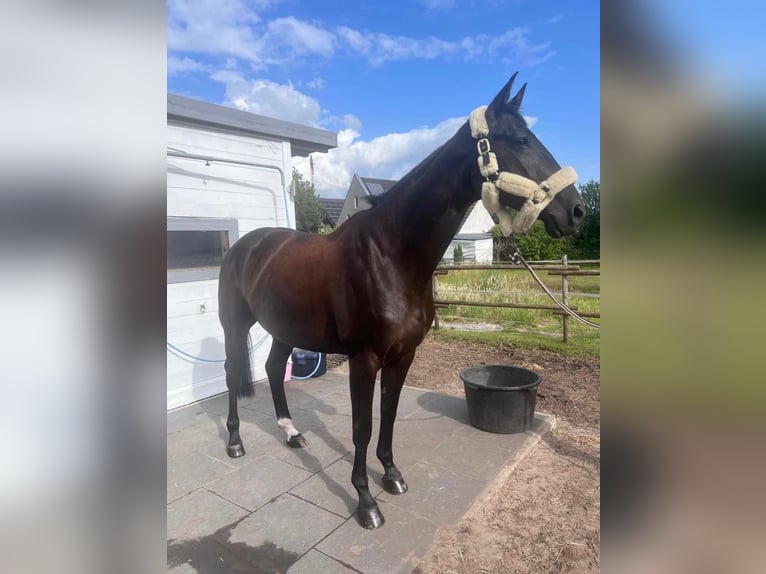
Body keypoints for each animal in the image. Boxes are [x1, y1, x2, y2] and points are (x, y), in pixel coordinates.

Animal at [217, 74, 585, 529]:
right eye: (520, 140)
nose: (577, 211)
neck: (389, 255)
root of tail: (248, 244)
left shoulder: (403, 355)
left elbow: (388, 415)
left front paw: (391, 475)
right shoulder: (365, 359)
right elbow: (362, 426)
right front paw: (365, 502)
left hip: (284, 326)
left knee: (270, 368)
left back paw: (292, 433)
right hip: (234, 324)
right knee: (233, 373)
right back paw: (235, 441)